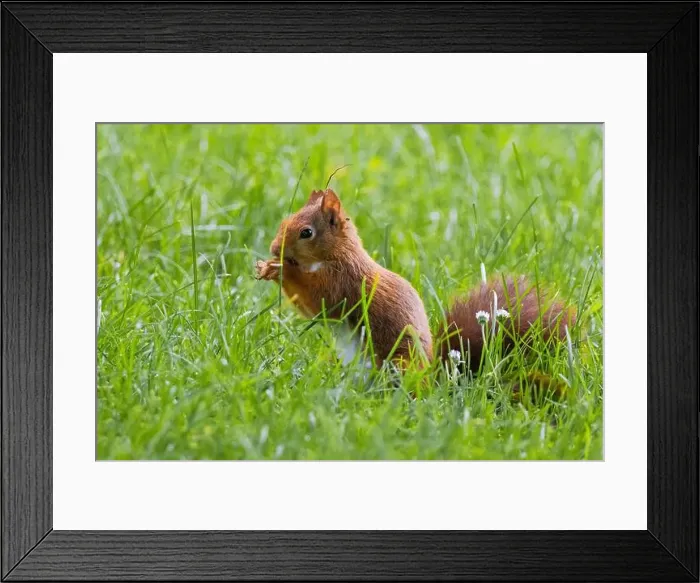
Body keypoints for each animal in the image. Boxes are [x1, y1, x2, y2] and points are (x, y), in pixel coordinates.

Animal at [255, 188, 576, 392]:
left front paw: (282, 269)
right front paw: (267, 267)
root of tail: (434, 380)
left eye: (306, 232)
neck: (337, 255)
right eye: (284, 222)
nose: (273, 248)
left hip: (399, 363)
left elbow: (318, 300)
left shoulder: (343, 282)